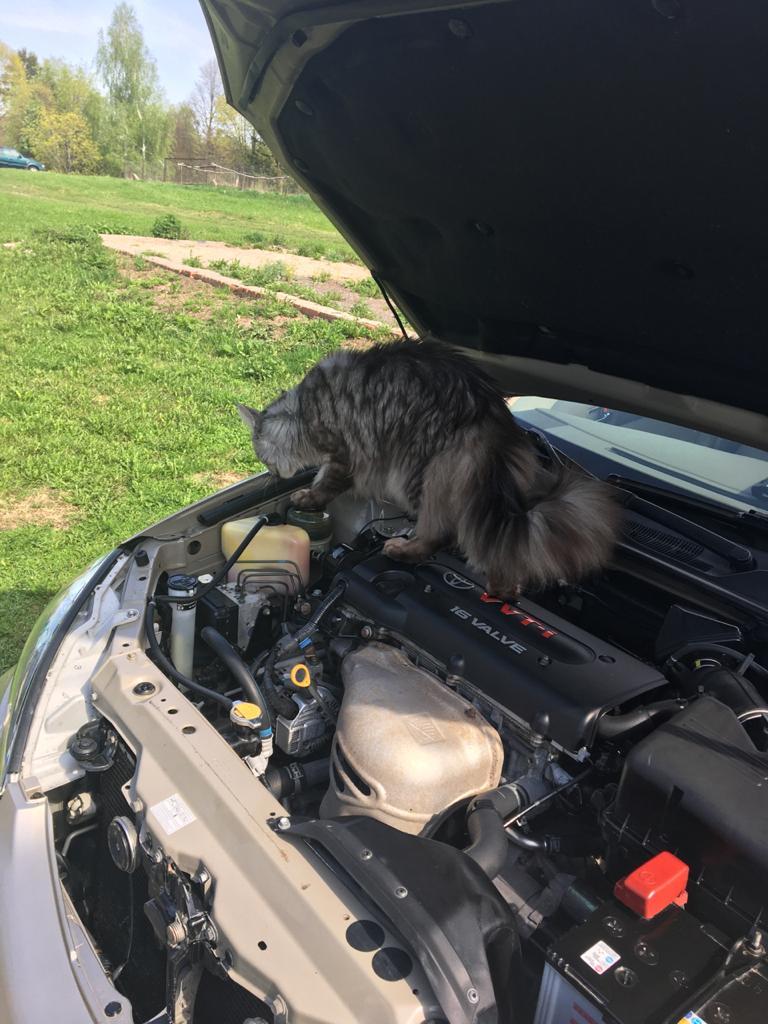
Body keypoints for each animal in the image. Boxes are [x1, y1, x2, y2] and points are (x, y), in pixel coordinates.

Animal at [237, 337, 622, 593]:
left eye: (263, 458)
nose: (272, 474)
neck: (303, 411)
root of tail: (488, 411)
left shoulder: (344, 454)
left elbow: (324, 482)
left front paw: (305, 497)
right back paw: (504, 587)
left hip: (416, 470)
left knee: (442, 530)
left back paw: (407, 549)